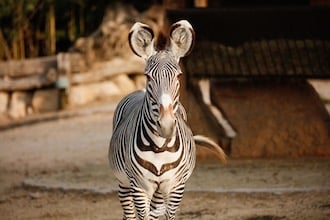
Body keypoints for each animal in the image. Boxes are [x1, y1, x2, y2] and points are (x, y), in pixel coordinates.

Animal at [109, 19, 226, 219]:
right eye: (147, 76)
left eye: (178, 75)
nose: (166, 125)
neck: (160, 147)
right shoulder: (139, 187)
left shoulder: (176, 187)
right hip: (124, 183)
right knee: (129, 213)